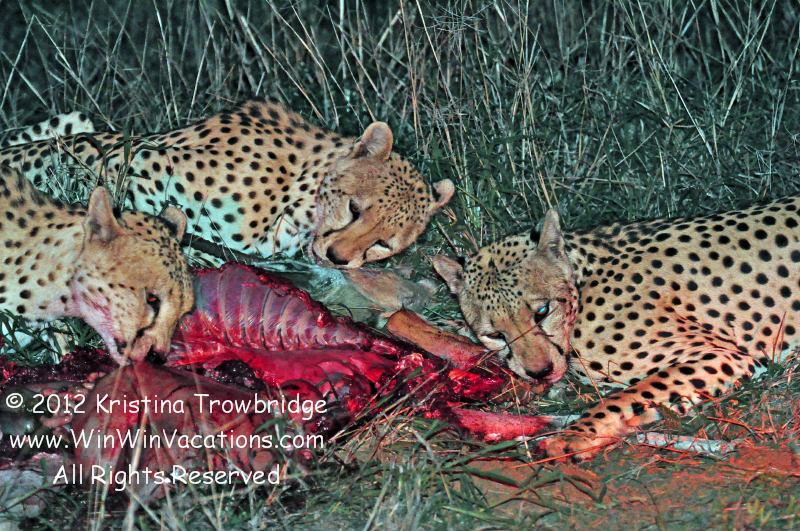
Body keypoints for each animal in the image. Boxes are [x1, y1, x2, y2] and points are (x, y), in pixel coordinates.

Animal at [433, 196, 800, 460]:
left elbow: (627, 394)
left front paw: (575, 435)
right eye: (495, 334)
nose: (539, 372)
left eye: (542, 311)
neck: (582, 278)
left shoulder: (725, 354)